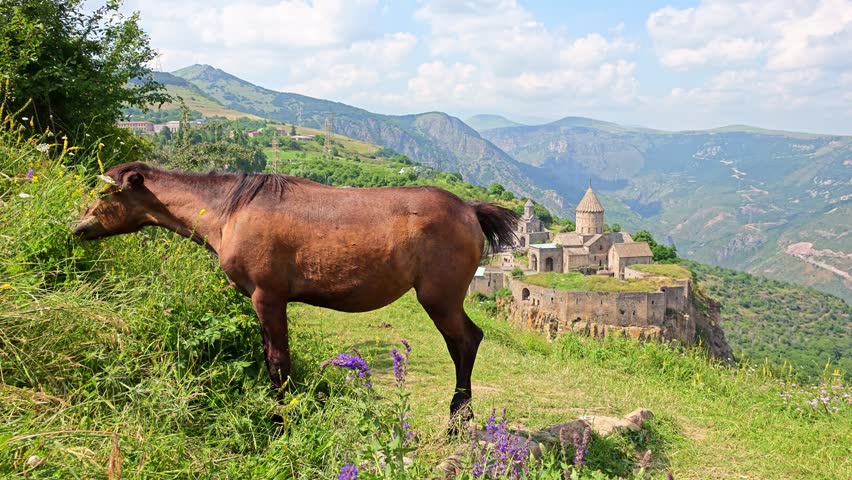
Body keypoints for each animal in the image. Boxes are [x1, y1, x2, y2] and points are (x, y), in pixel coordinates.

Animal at [72, 162, 519, 424]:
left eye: (104, 192)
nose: (78, 226)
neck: (231, 211)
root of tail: (470, 209)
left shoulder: (268, 297)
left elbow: (278, 363)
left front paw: (282, 418)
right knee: (464, 343)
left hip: (439, 299)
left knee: (466, 342)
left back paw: (458, 419)